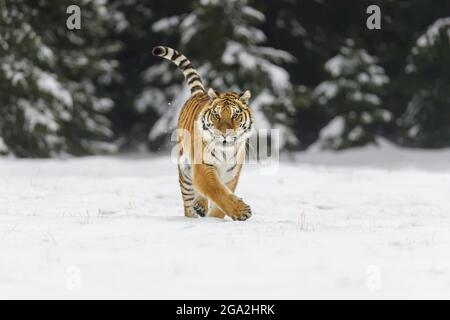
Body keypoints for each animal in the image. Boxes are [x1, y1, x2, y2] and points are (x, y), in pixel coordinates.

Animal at [153, 45, 255, 220]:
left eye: (235, 115)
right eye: (217, 115)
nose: (225, 133)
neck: (225, 152)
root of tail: (199, 93)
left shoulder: (231, 175)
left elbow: (221, 202)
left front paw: (215, 218)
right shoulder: (203, 167)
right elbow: (218, 192)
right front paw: (242, 211)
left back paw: (200, 207)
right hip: (185, 170)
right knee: (188, 203)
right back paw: (194, 212)